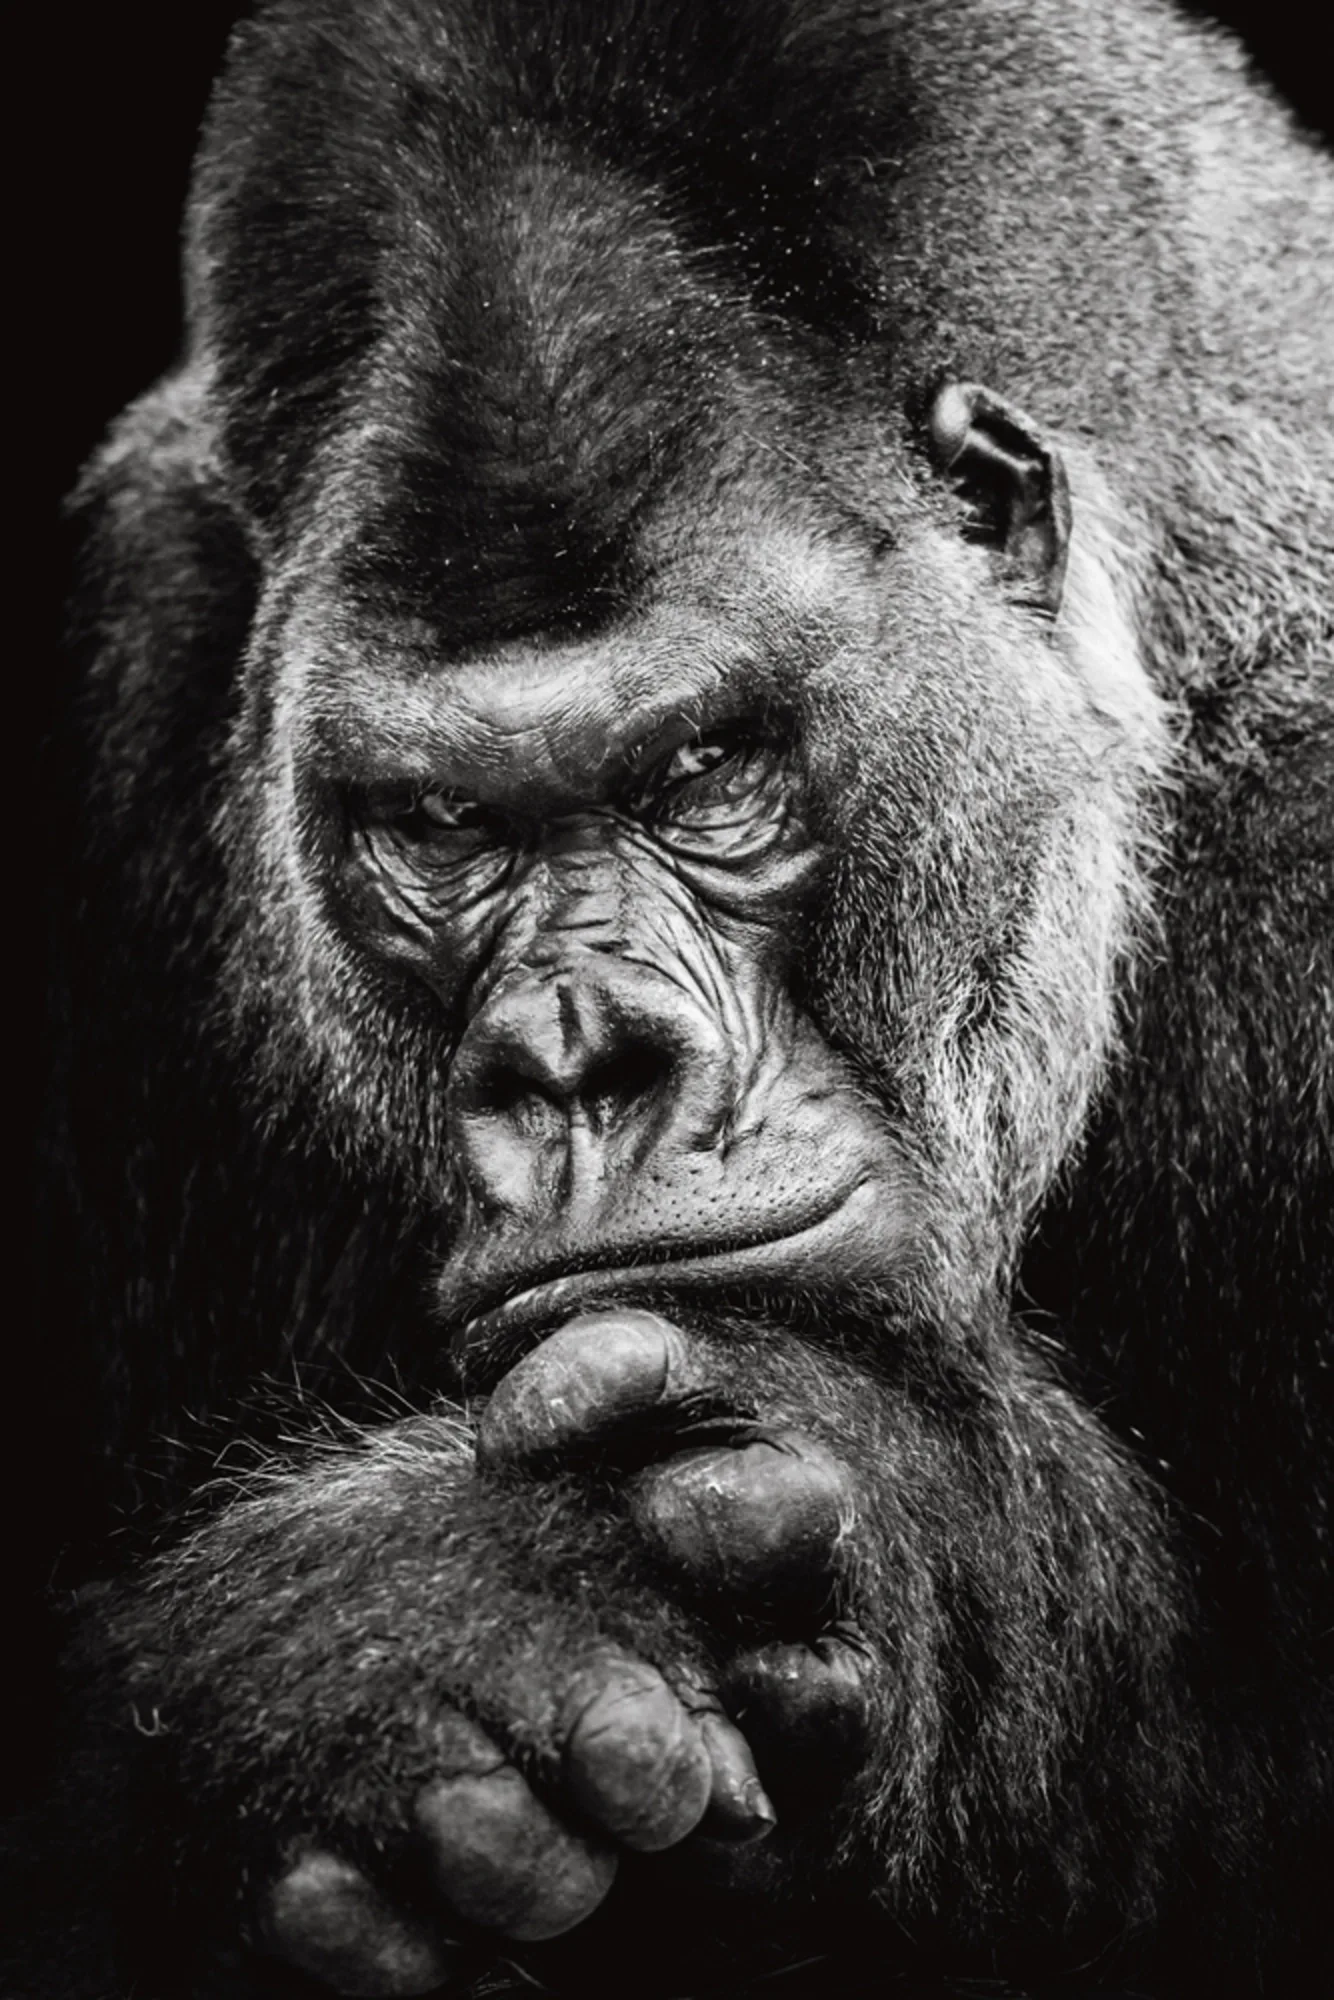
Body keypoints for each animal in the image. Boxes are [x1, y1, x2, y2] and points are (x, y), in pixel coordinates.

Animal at [20, 1, 1332, 1996]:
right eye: (436, 825)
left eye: (706, 769)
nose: (576, 1058)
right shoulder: (138, 655)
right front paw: (379, 1650)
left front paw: (902, 1518)